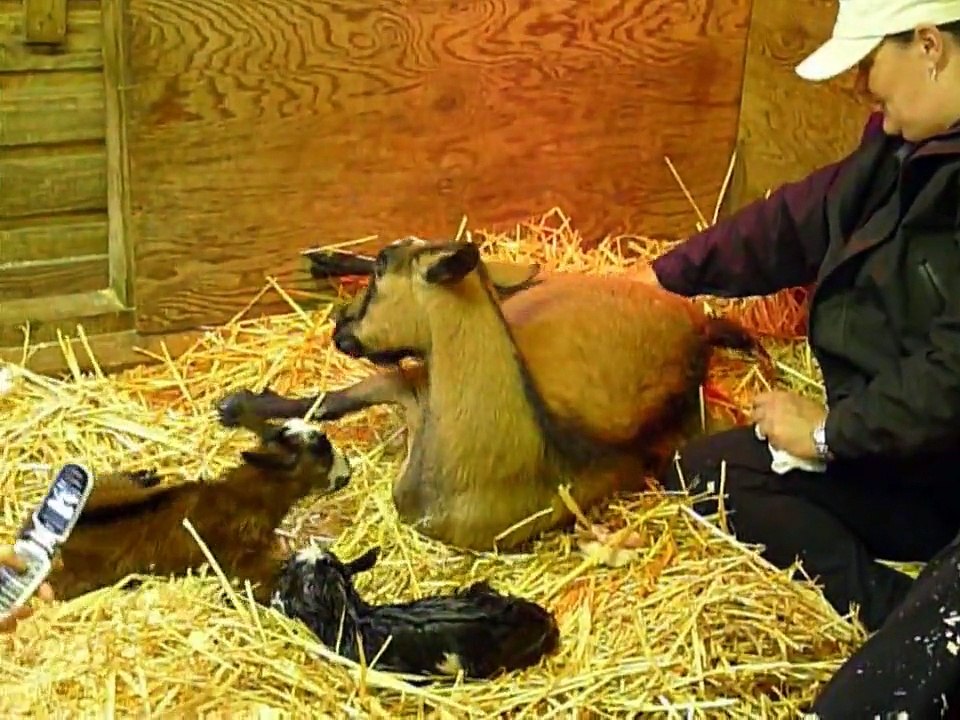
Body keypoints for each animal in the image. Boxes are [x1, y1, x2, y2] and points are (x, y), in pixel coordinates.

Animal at [47, 409, 352, 603]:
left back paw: (146, 476)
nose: (347, 472)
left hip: (101, 485)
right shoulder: (239, 556)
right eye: (322, 458)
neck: (243, 493)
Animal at [218, 237, 759, 552]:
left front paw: (240, 407)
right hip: (522, 289)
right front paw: (245, 407)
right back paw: (326, 258)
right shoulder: (416, 386)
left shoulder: (415, 385)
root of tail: (699, 328)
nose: (340, 328)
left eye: (382, 271)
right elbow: (340, 398)